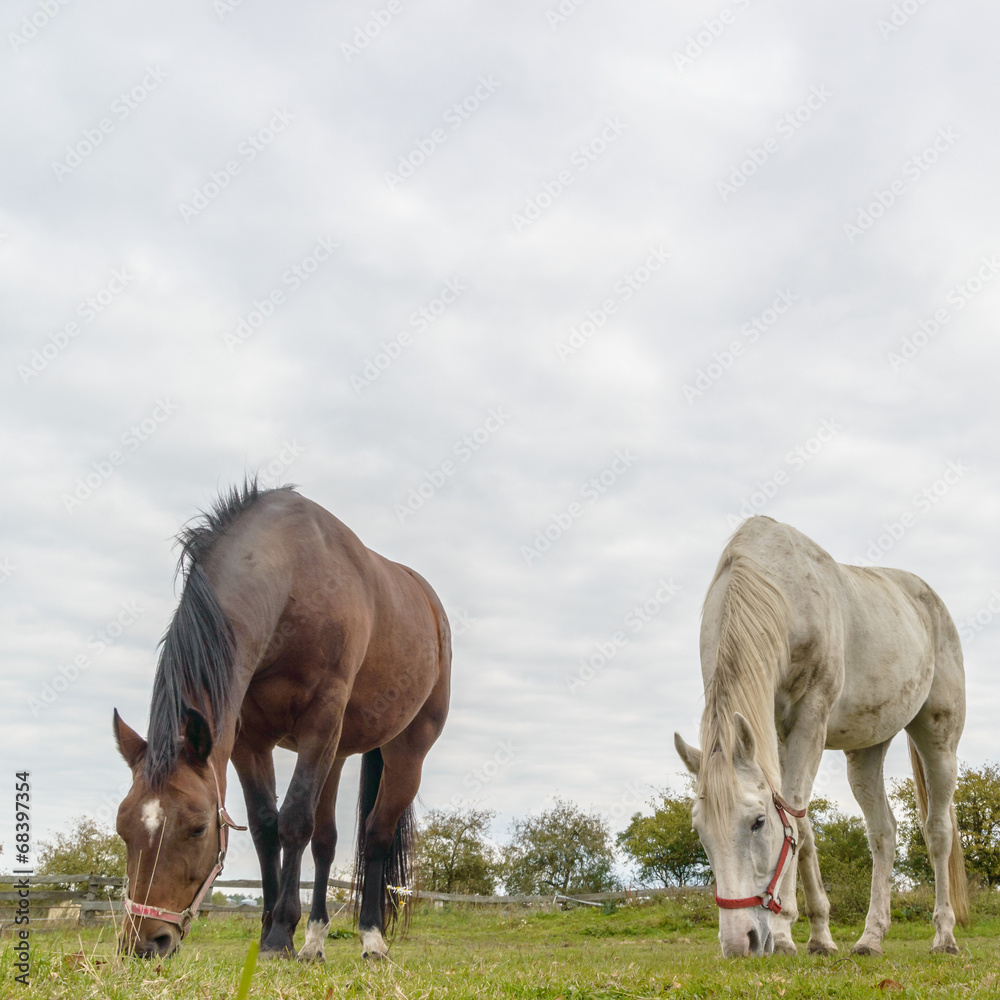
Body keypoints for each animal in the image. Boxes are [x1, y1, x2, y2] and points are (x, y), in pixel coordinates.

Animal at [113, 481, 451, 961]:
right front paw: (273, 926)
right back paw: (314, 939)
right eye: (122, 828)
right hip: (337, 752)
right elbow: (265, 827)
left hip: (405, 750)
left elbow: (293, 820)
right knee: (326, 842)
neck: (294, 575)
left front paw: (278, 935)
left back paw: (371, 938)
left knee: (376, 837)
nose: (143, 943)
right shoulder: (248, 740)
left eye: (198, 828)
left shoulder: (320, 719)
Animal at [674, 516, 967, 958]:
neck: (778, 590)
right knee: (883, 834)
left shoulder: (810, 717)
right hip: (866, 752)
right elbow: (802, 826)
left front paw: (782, 932)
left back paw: (944, 936)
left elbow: (793, 816)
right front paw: (818, 935)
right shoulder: (775, 733)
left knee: (937, 832)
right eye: (700, 832)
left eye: (758, 822)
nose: (740, 942)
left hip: (939, 740)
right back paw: (871, 937)